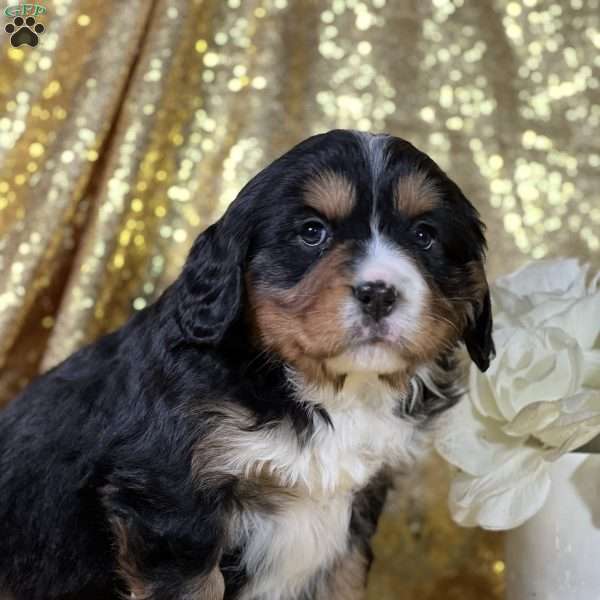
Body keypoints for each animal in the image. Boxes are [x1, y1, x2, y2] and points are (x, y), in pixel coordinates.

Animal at [0, 131, 492, 600]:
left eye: (424, 235)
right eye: (312, 232)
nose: (379, 292)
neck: (328, 390)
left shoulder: (353, 523)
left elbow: (345, 584)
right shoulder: (172, 506)